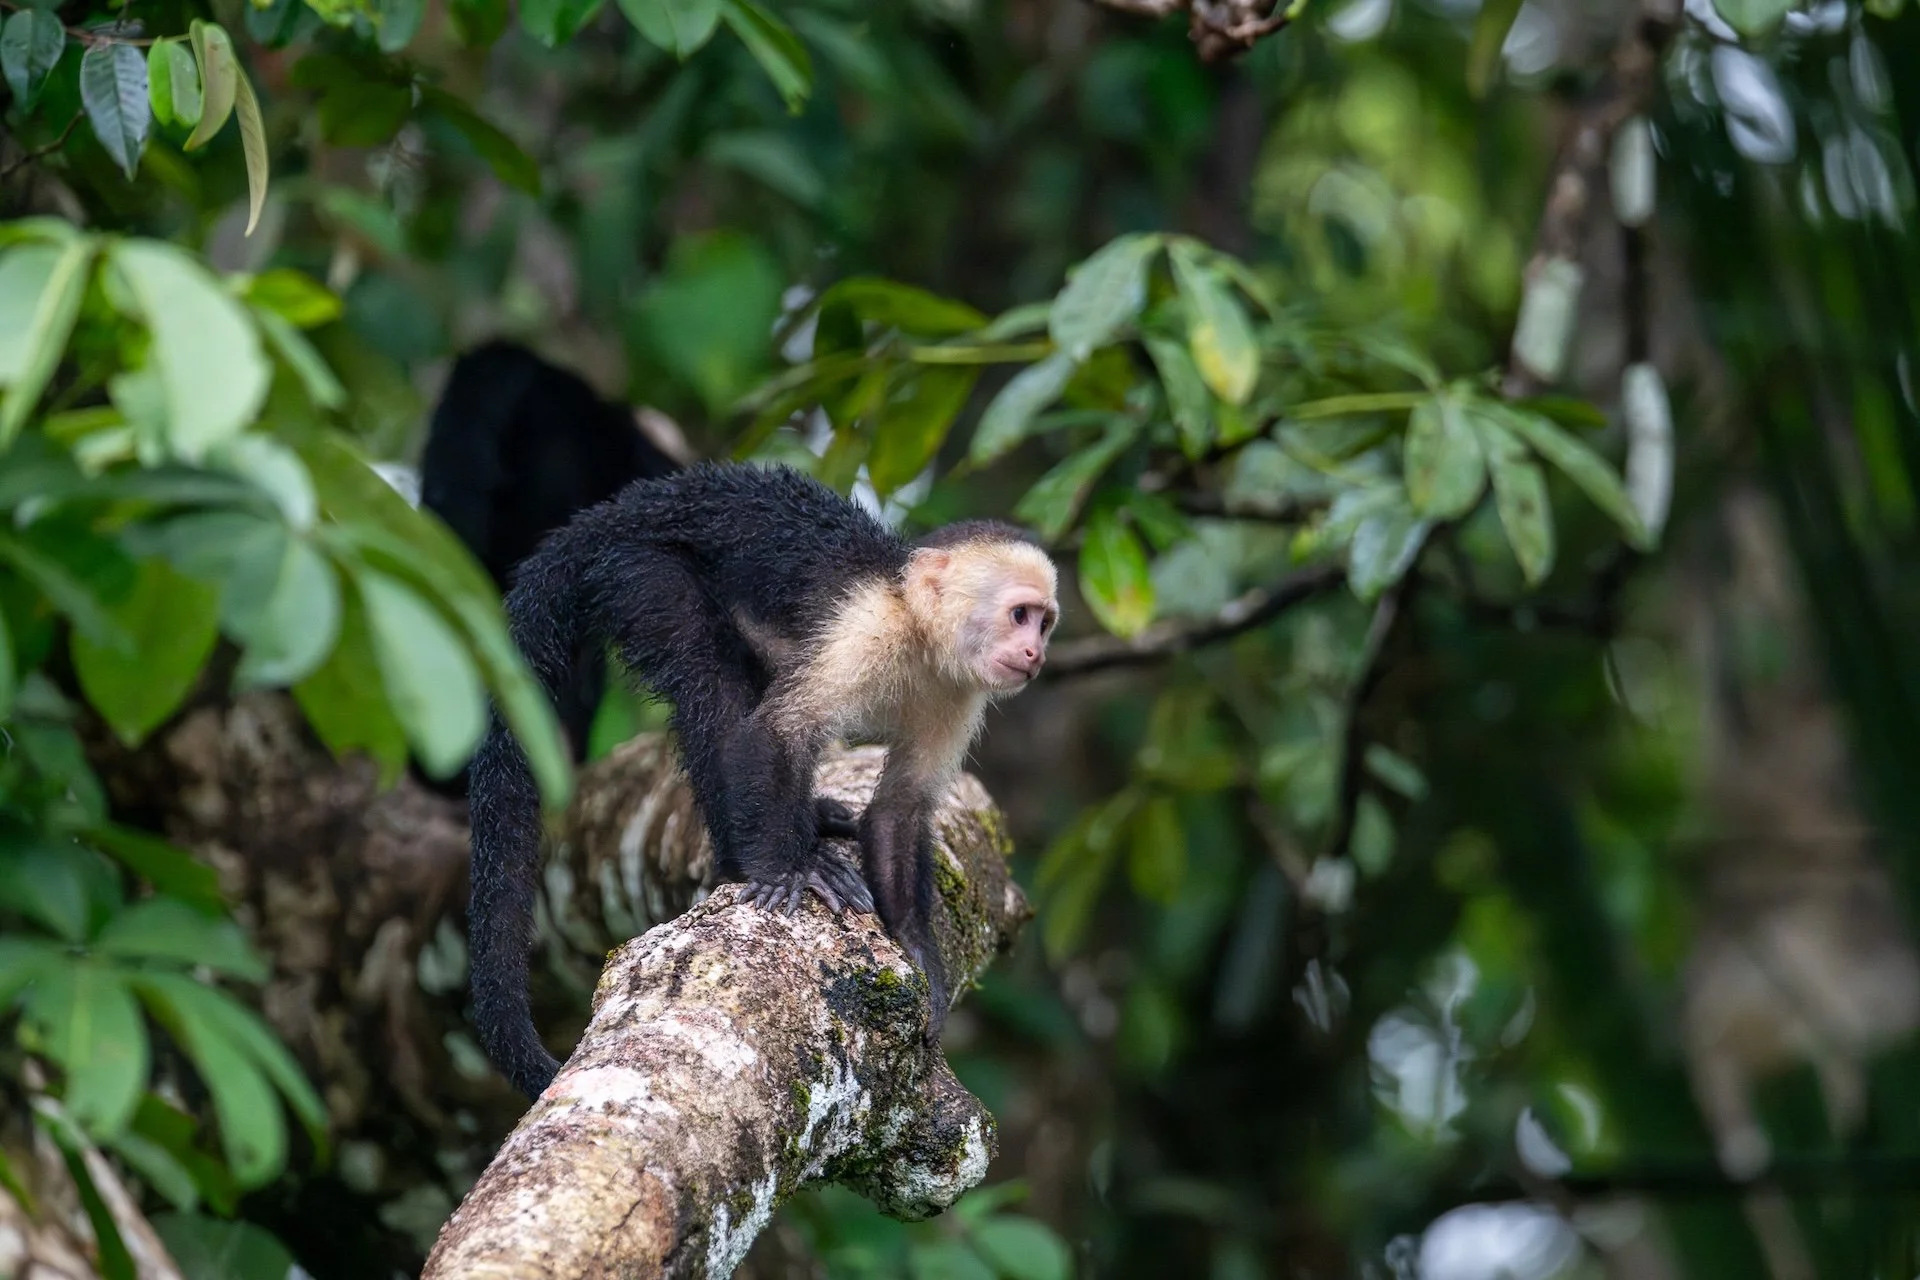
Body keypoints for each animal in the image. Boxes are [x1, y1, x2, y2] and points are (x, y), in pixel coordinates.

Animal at [466, 462, 1059, 1100]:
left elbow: (900, 807)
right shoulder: (866, 627)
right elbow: (776, 732)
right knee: (710, 683)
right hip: (638, 568)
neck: (918, 634)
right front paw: (787, 870)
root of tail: (625, 508)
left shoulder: (957, 692)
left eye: (1045, 623)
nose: (1035, 653)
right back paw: (750, 855)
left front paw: (917, 947)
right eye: (1020, 615)